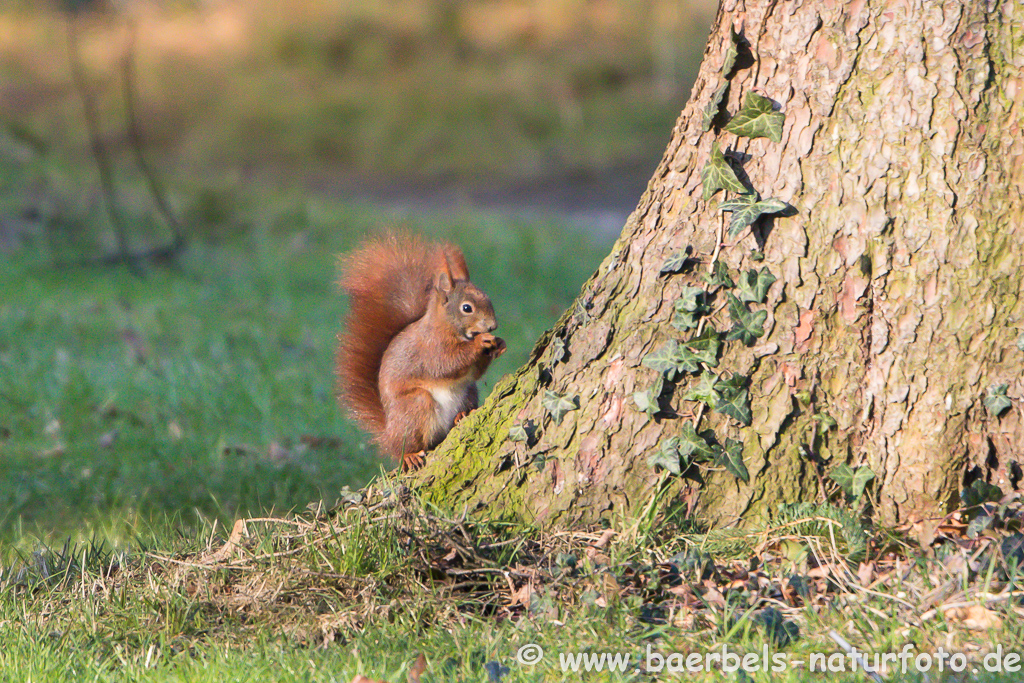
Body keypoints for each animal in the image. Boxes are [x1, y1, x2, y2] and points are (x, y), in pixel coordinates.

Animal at [333, 233, 505, 471]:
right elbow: (446, 363)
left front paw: (499, 344)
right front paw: (481, 342)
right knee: (406, 445)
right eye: (467, 308)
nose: (492, 326)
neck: (447, 327)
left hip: (468, 393)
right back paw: (409, 455)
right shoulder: (430, 348)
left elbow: (474, 373)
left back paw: (461, 415)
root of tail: (388, 432)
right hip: (415, 406)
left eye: (487, 298)